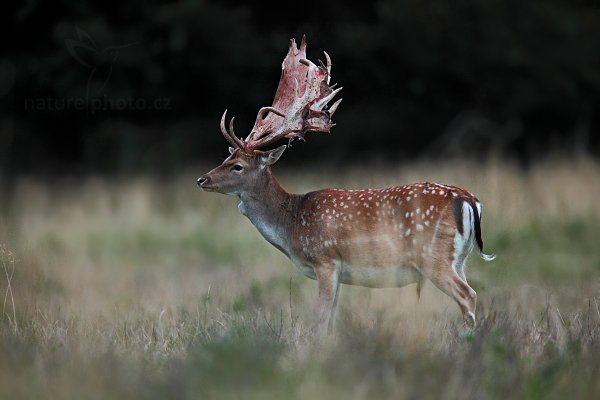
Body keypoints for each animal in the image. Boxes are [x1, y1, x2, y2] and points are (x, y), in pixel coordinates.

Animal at [197, 37, 492, 336]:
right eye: (226, 158)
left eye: (237, 166)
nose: (202, 179)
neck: (291, 224)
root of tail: (469, 201)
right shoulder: (338, 272)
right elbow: (331, 319)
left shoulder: (325, 260)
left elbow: (321, 318)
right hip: (459, 258)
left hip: (432, 256)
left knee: (468, 295)